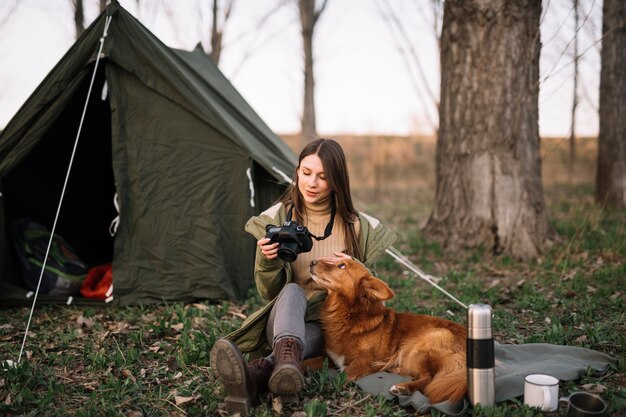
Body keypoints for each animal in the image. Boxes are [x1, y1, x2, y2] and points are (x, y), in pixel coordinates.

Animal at [310, 256, 466, 404]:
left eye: (341, 265)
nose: (312, 261)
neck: (348, 316)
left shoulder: (368, 360)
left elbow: (346, 372)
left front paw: (331, 385)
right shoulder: (328, 356)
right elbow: (310, 361)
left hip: (419, 345)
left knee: (429, 379)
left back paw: (402, 387)